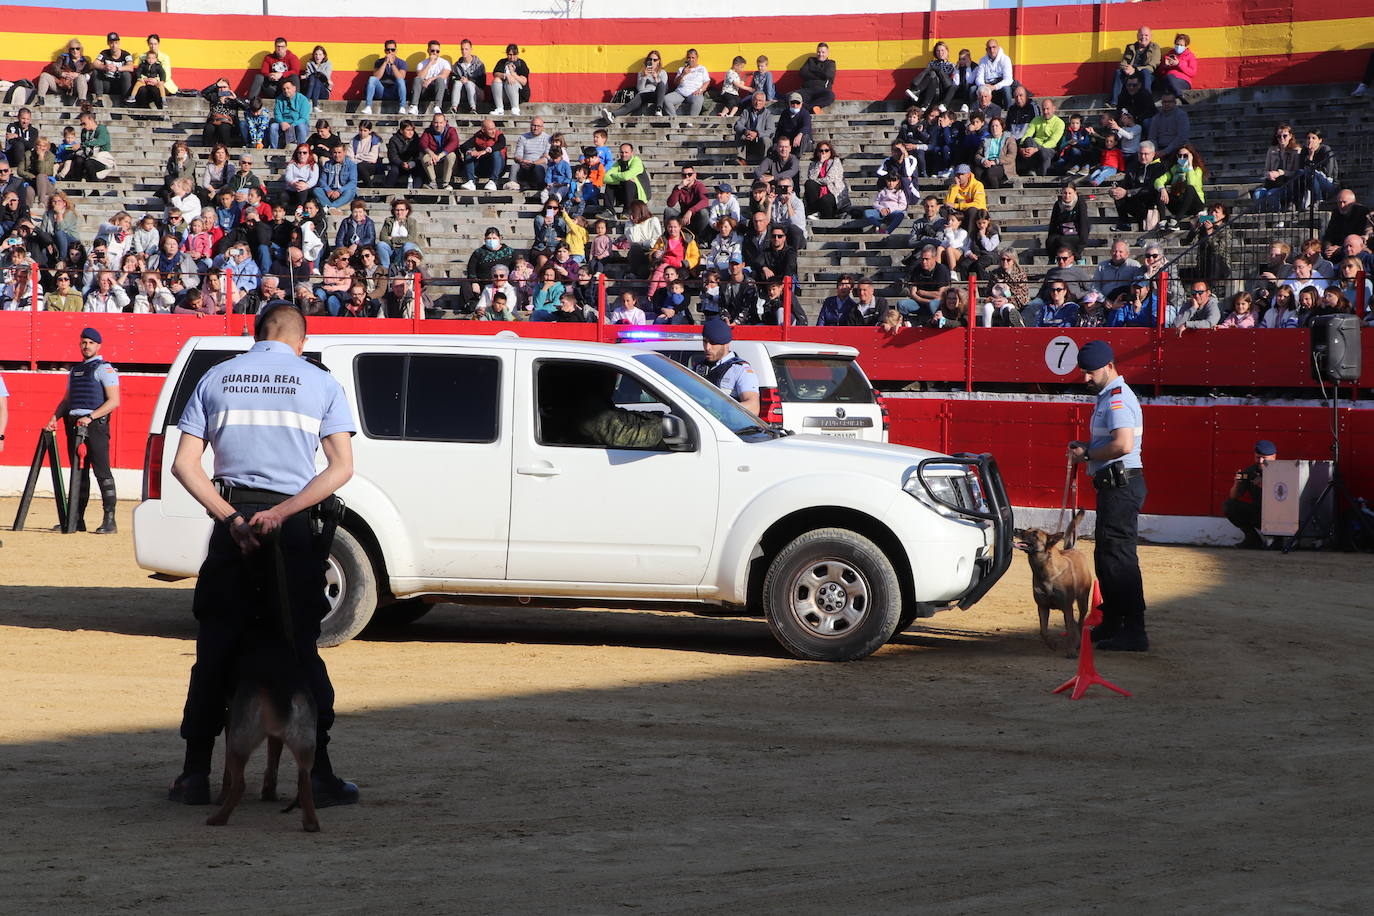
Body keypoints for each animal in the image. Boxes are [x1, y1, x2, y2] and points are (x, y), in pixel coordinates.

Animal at [206, 634, 321, 834]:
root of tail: (282, 691)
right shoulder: (275, 736)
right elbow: (272, 760)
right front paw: (269, 792)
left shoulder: (230, 715)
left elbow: (227, 774)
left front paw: (221, 797)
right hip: (304, 743)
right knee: (304, 781)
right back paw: (310, 823)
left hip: (239, 741)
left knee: (239, 784)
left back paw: (218, 818)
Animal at [1011, 508, 1093, 659]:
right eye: (1028, 528)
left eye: (1035, 534)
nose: (1016, 528)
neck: (1045, 571)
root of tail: (1073, 549)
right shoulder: (1042, 606)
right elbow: (1043, 631)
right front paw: (1052, 644)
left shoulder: (1067, 607)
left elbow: (1070, 630)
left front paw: (1071, 650)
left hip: (1083, 600)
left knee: (1079, 622)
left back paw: (1078, 643)